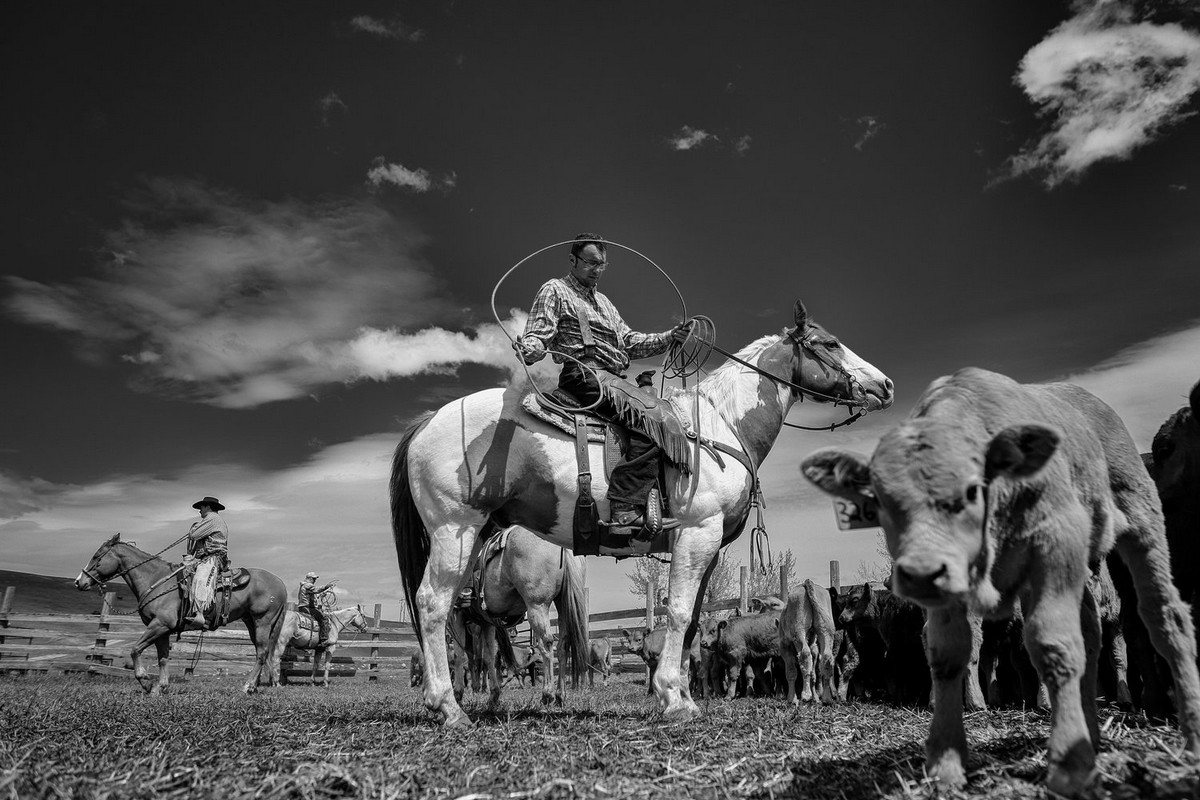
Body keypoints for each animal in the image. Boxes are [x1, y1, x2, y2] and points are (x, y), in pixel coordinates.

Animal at [75, 532, 290, 695]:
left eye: (97, 556)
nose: (79, 582)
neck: (156, 579)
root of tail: (280, 583)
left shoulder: (160, 624)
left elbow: (135, 649)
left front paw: (145, 681)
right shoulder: (161, 629)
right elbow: (162, 657)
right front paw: (160, 687)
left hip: (262, 621)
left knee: (262, 653)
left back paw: (247, 686)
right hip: (251, 622)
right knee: (261, 652)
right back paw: (254, 685)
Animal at [451, 525, 590, 705]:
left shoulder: (457, 616)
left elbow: (460, 656)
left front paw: (458, 694)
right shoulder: (486, 623)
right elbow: (489, 657)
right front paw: (493, 695)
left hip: (537, 606)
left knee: (546, 643)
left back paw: (547, 694)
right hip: (562, 604)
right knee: (563, 644)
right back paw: (560, 695)